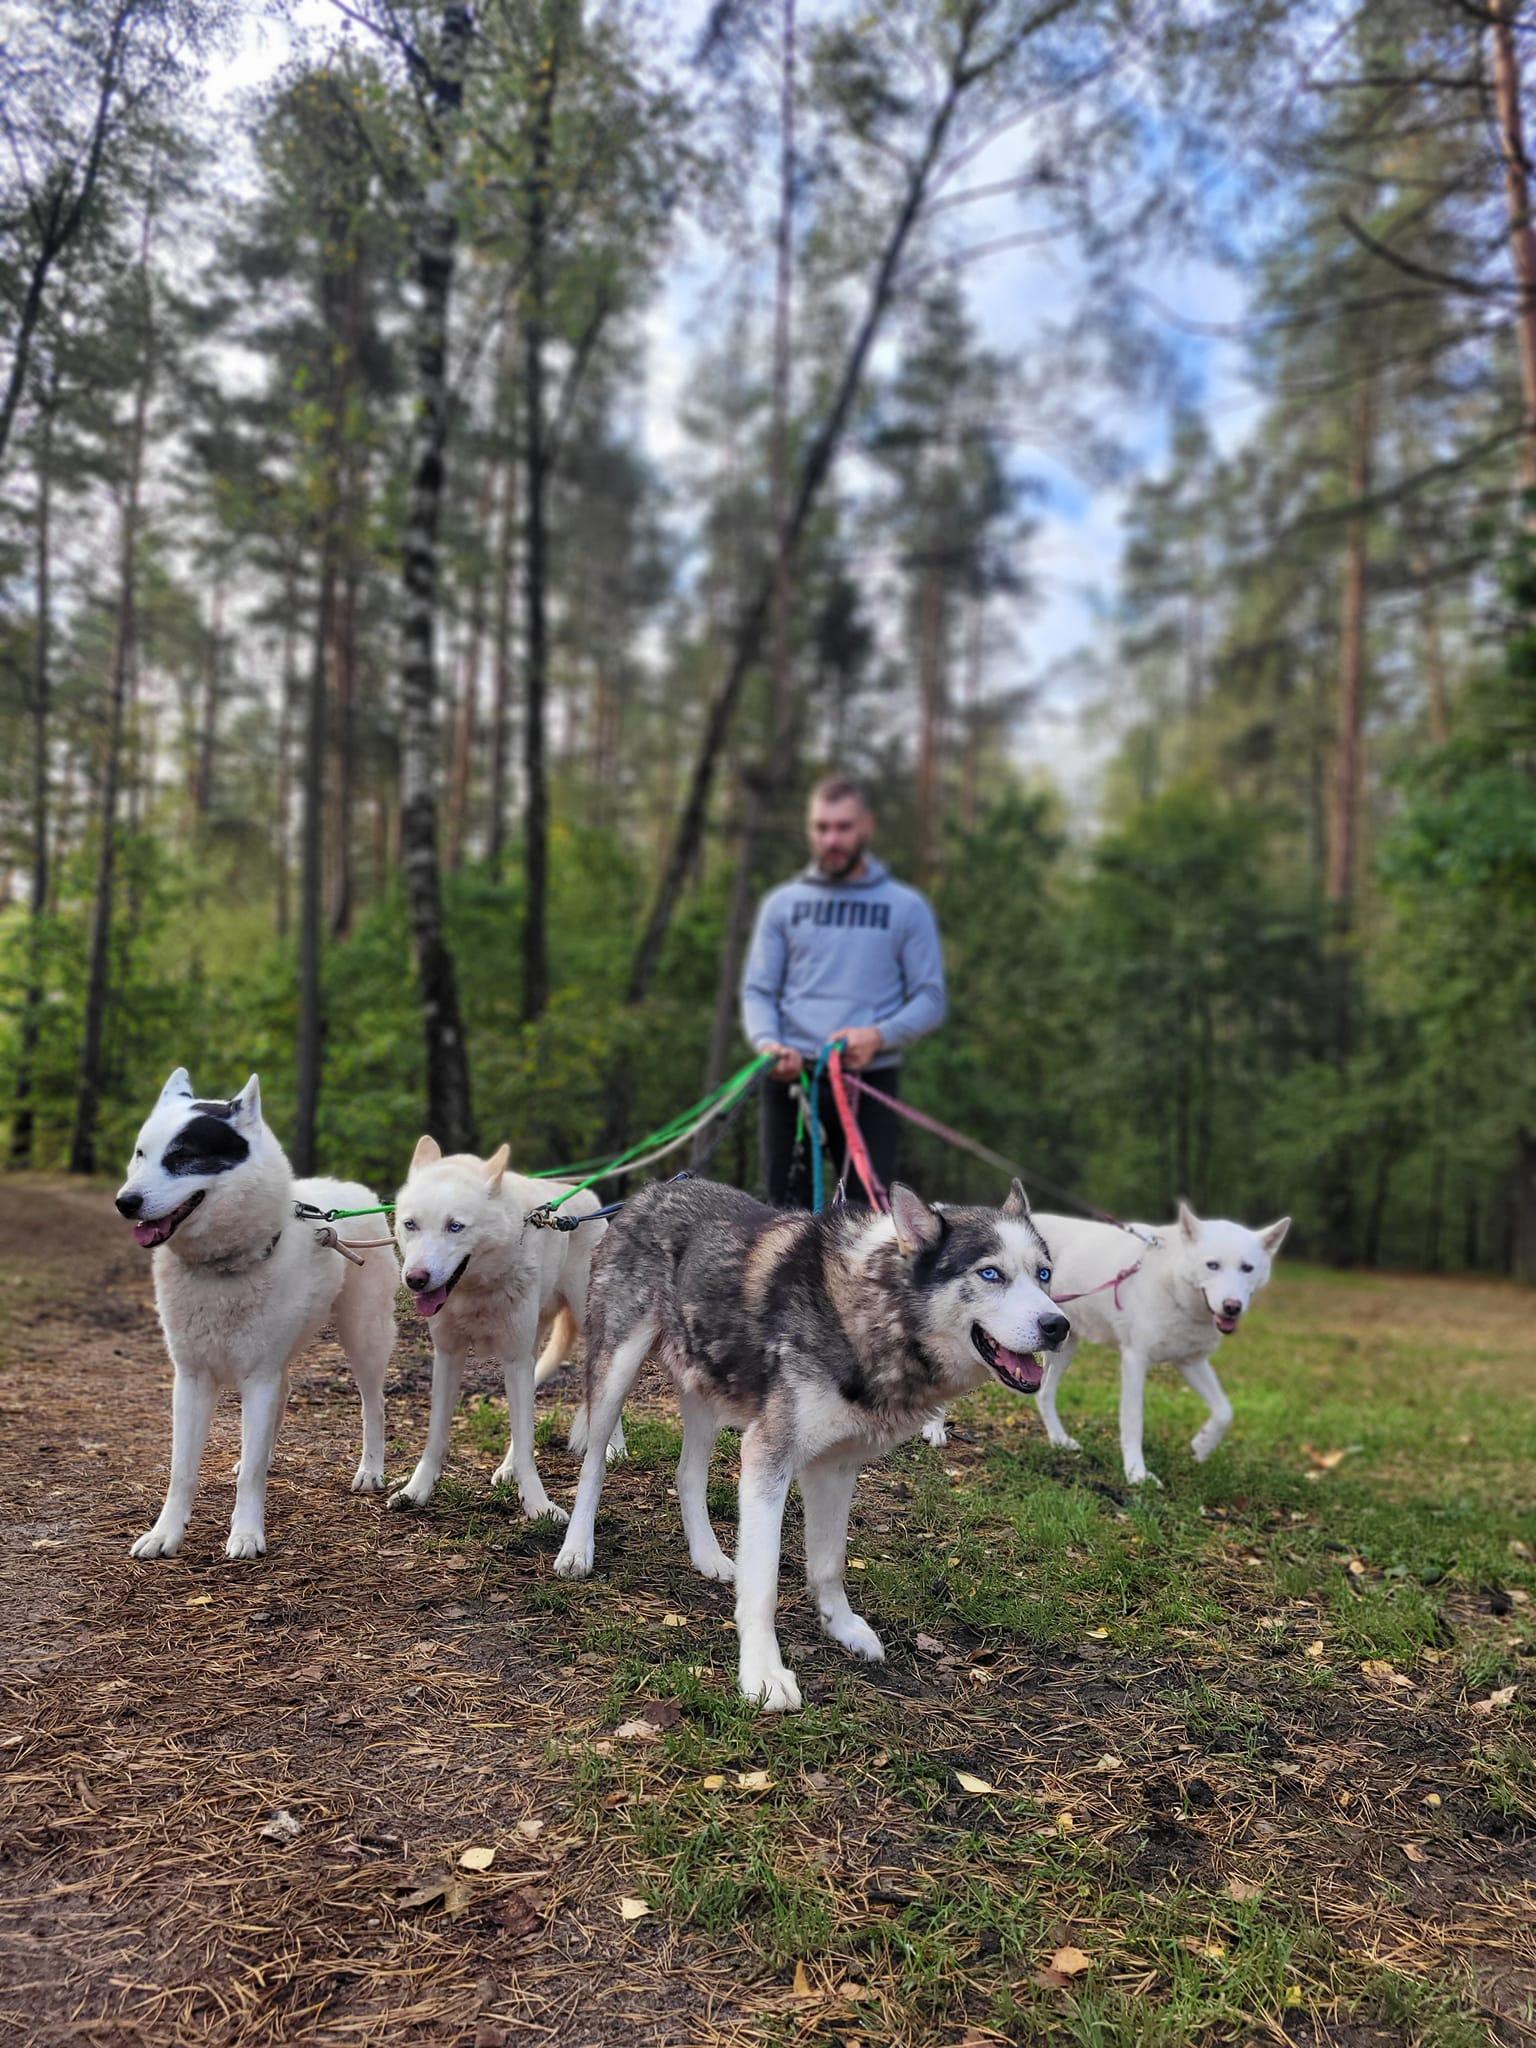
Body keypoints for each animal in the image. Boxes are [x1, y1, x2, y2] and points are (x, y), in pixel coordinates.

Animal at [115, 1068, 397, 1559]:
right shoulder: (190, 1379)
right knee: (284, 1399)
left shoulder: (258, 1376)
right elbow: (182, 1469)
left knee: (372, 1404)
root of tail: (356, 1192)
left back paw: (370, 1470)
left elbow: (248, 1478)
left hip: (363, 1338)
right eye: (141, 1154)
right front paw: (166, 1533)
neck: (222, 1268)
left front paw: (246, 1534)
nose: (124, 1202)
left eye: (183, 1156)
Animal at [388, 1137, 620, 1521]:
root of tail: (590, 1201)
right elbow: (436, 1437)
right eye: (411, 1225)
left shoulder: (514, 1360)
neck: (474, 1292)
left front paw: (539, 1506)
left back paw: (614, 1448)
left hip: (585, 1331)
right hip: (533, 1349)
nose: (415, 1279)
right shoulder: (449, 1355)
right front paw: (415, 1491)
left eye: (455, 1226)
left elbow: (527, 1444)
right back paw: (507, 1469)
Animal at [552, 1175, 1069, 1712]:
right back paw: (577, 1549)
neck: (869, 1306)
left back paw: (709, 1557)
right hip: (617, 1372)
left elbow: (828, 1563)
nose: (1058, 1326)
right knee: (594, 1465)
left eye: (1044, 1275)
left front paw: (841, 1627)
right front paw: (763, 1673)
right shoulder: (768, 1459)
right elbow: (763, 1583)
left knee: (688, 1475)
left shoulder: (835, 1468)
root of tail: (651, 1191)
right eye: (990, 1273)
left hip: (706, 1392)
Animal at [1026, 1201, 1291, 1485]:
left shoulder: (1191, 1363)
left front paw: (1202, 1446)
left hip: (1066, 1347)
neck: (1176, 1290)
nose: (1232, 1307)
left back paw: (1060, 1440)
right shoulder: (1135, 1360)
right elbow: (1134, 1421)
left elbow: (1224, 1411)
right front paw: (1136, 1474)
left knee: (1044, 1393)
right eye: (1212, 1265)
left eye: (1247, 1268)